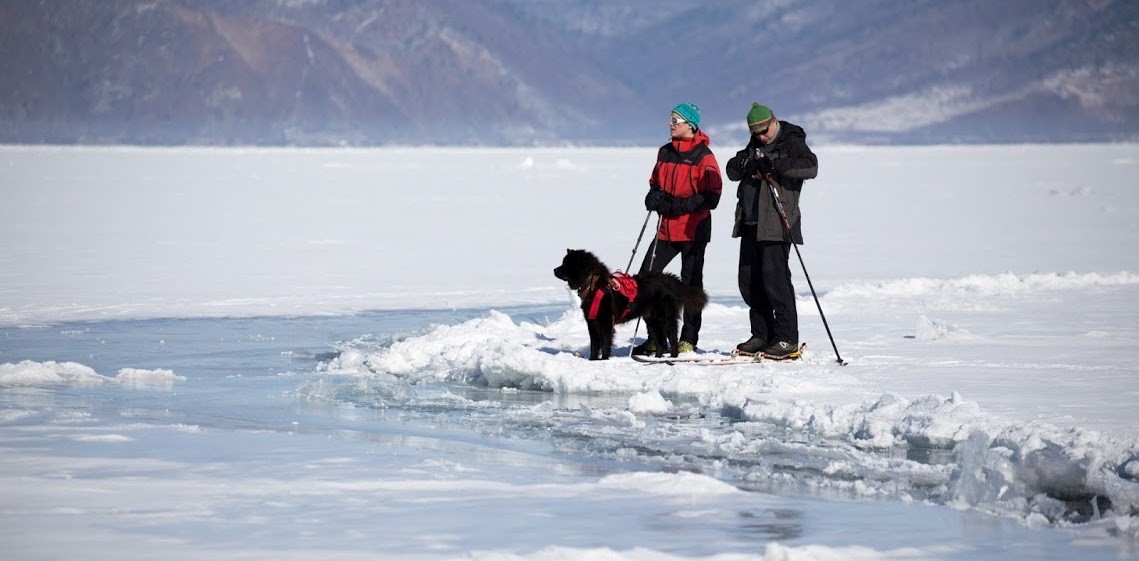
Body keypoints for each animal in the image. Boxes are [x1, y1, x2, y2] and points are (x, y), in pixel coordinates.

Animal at [553, 248, 706, 359]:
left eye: (566, 264)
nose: (554, 269)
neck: (594, 284)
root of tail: (668, 279)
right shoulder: (592, 322)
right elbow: (594, 346)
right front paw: (592, 360)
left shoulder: (605, 322)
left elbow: (604, 344)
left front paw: (604, 360)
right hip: (651, 320)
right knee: (660, 342)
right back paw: (657, 359)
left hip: (665, 318)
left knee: (672, 339)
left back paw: (673, 358)